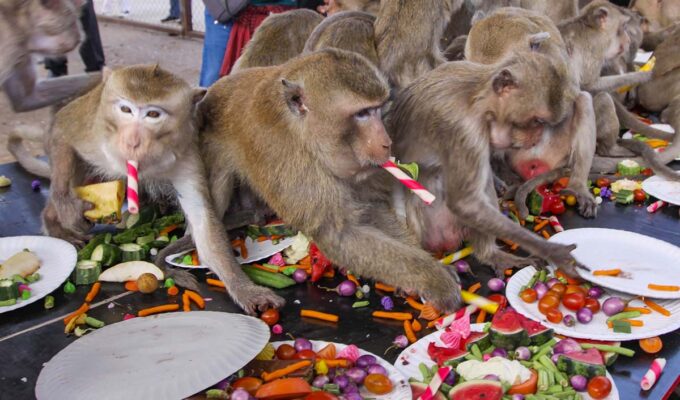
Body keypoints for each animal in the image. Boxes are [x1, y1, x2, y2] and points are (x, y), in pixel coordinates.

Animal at [26, 65, 285, 314]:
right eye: (126, 109)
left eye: (153, 114)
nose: (132, 141)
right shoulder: (95, 136)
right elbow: (63, 131)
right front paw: (65, 208)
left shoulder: (186, 157)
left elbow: (203, 224)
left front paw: (245, 290)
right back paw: (54, 221)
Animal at [185, 49, 463, 313]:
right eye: (362, 113)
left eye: (377, 109)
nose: (386, 142)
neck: (304, 136)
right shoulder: (291, 162)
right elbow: (338, 234)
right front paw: (435, 280)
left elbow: (372, 209)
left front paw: (425, 273)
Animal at [386, 53, 585, 278]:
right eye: (537, 121)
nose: (536, 138)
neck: (477, 100)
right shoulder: (463, 130)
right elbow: (465, 203)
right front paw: (552, 251)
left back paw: (490, 254)